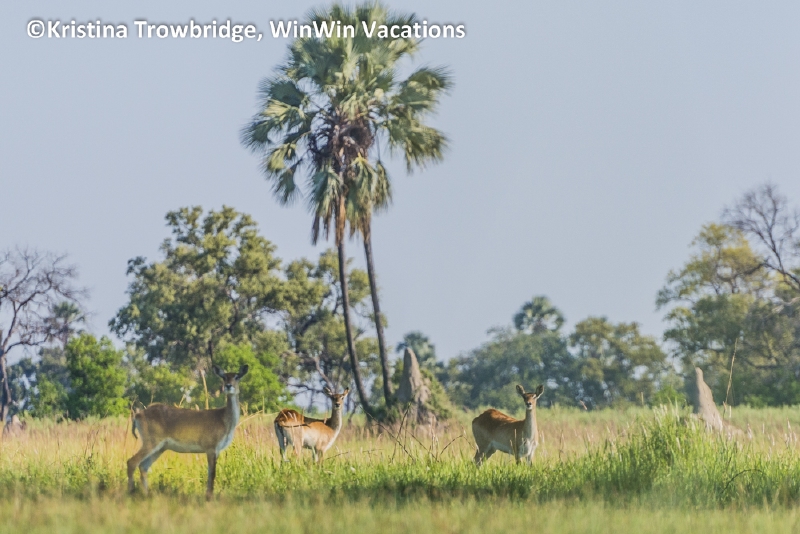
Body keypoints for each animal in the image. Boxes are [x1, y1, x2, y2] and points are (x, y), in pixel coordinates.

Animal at [127, 365, 248, 500]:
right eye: (224, 377)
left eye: (237, 376)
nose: (228, 386)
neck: (224, 419)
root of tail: (137, 415)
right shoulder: (211, 448)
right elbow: (212, 473)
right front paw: (208, 497)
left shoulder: (216, 451)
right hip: (151, 442)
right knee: (131, 462)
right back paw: (130, 492)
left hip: (160, 448)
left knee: (143, 466)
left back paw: (146, 494)